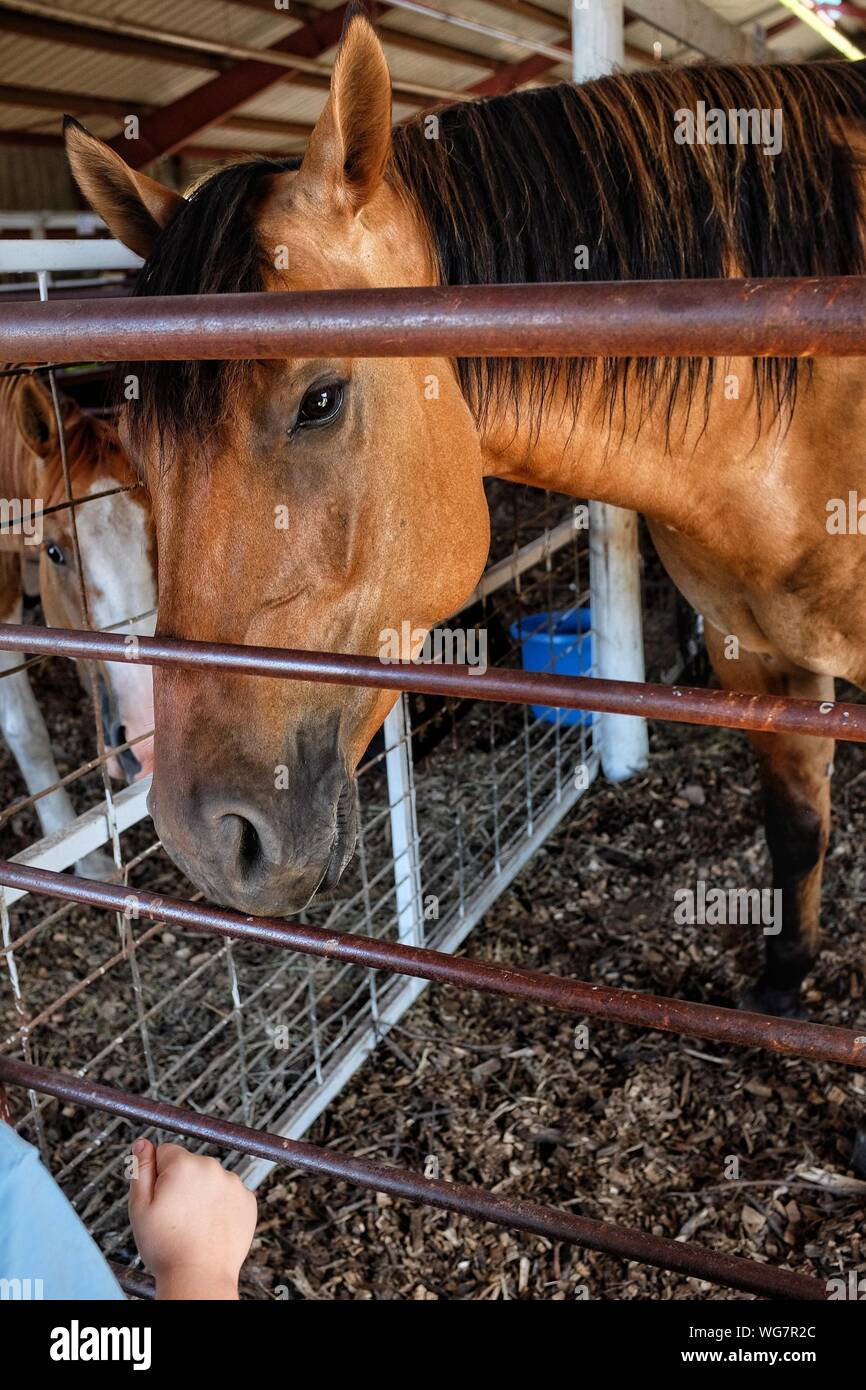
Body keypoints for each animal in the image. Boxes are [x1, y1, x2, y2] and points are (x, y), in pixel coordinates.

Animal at [63, 13, 866, 1057]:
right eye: (136, 441)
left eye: (320, 400)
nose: (209, 839)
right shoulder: (756, 657)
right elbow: (797, 824)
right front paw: (781, 984)